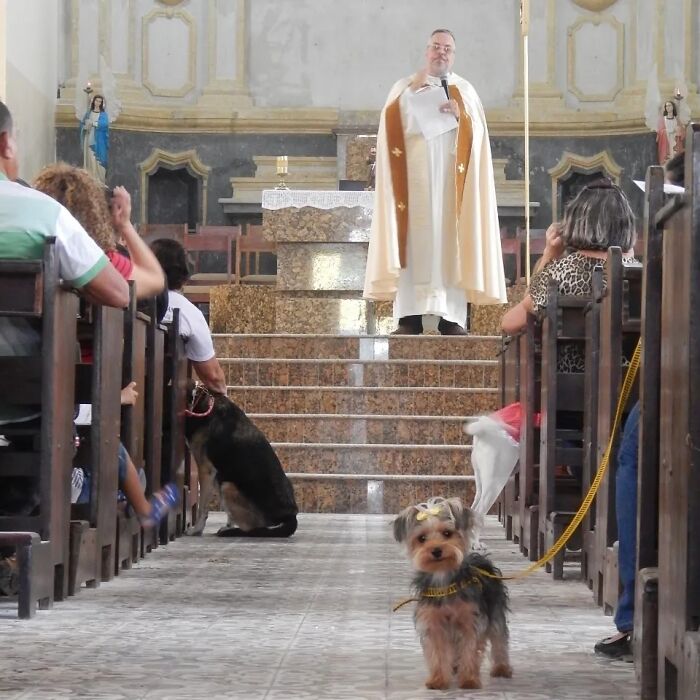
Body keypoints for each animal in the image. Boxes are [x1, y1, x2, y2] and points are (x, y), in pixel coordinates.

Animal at [183, 386, 298, 540]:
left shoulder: (206, 470)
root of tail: (290, 516)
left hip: (228, 486)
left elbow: (202, 509)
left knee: (252, 529)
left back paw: (230, 532)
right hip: (223, 480)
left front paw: (196, 530)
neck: (199, 400)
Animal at [392, 498, 512, 688]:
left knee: (499, 638)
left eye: (447, 533)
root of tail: (480, 559)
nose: (436, 550)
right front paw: (438, 680)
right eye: (422, 538)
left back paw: (501, 668)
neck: (443, 578)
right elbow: (438, 652)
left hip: (495, 611)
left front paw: (469, 680)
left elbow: (470, 649)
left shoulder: (471, 620)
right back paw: (455, 666)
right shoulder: (434, 623)